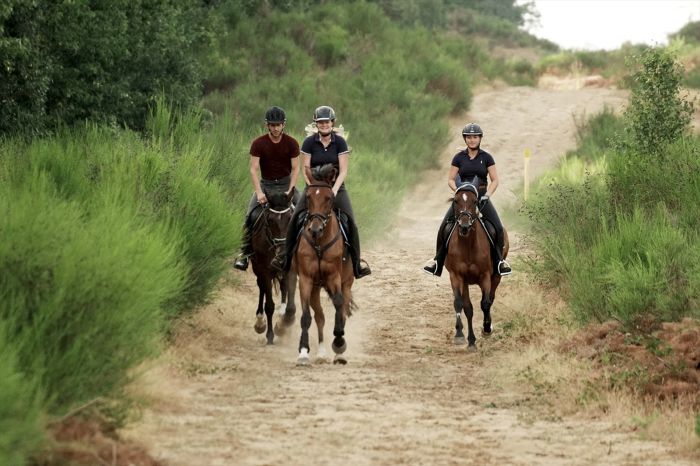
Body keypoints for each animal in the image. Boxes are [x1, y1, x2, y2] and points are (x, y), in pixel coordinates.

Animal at [250, 189, 296, 346]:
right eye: (270, 220)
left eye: (290, 218)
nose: (282, 255)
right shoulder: (265, 271)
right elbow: (269, 305)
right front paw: (270, 334)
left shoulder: (291, 270)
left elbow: (291, 307)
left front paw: (283, 324)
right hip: (258, 269)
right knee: (262, 288)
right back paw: (260, 323)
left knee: (283, 288)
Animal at [292, 164, 356, 364]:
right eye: (308, 197)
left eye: (329, 198)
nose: (315, 229)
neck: (319, 243)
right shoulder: (306, 279)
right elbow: (306, 316)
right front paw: (303, 352)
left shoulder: (334, 277)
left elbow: (338, 305)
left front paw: (339, 342)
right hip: (315, 287)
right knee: (319, 316)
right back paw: (320, 352)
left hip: (346, 283)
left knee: (342, 308)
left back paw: (338, 352)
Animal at [448, 182, 508, 354]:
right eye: (456, 201)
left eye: (475, 201)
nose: (464, 225)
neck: (468, 245)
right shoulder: (456, 276)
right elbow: (460, 304)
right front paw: (461, 336)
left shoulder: (485, 276)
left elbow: (485, 303)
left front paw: (487, 329)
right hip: (466, 282)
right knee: (468, 307)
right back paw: (470, 339)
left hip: (496, 276)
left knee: (491, 298)